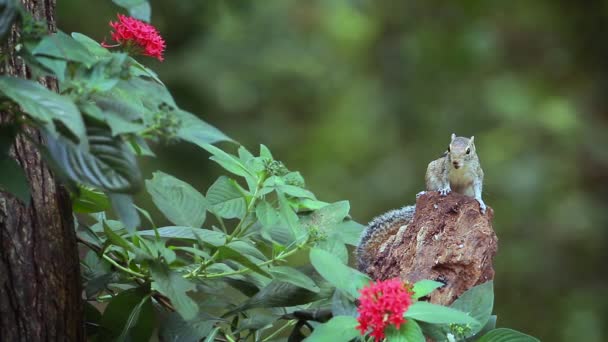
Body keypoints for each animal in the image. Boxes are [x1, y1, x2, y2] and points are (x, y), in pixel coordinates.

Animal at [356, 134, 484, 272]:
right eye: (448, 148)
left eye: (468, 151)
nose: (455, 162)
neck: (460, 169)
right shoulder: (443, 170)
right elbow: (444, 181)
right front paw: (445, 189)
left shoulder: (477, 174)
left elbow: (478, 187)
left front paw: (480, 201)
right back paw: (423, 192)